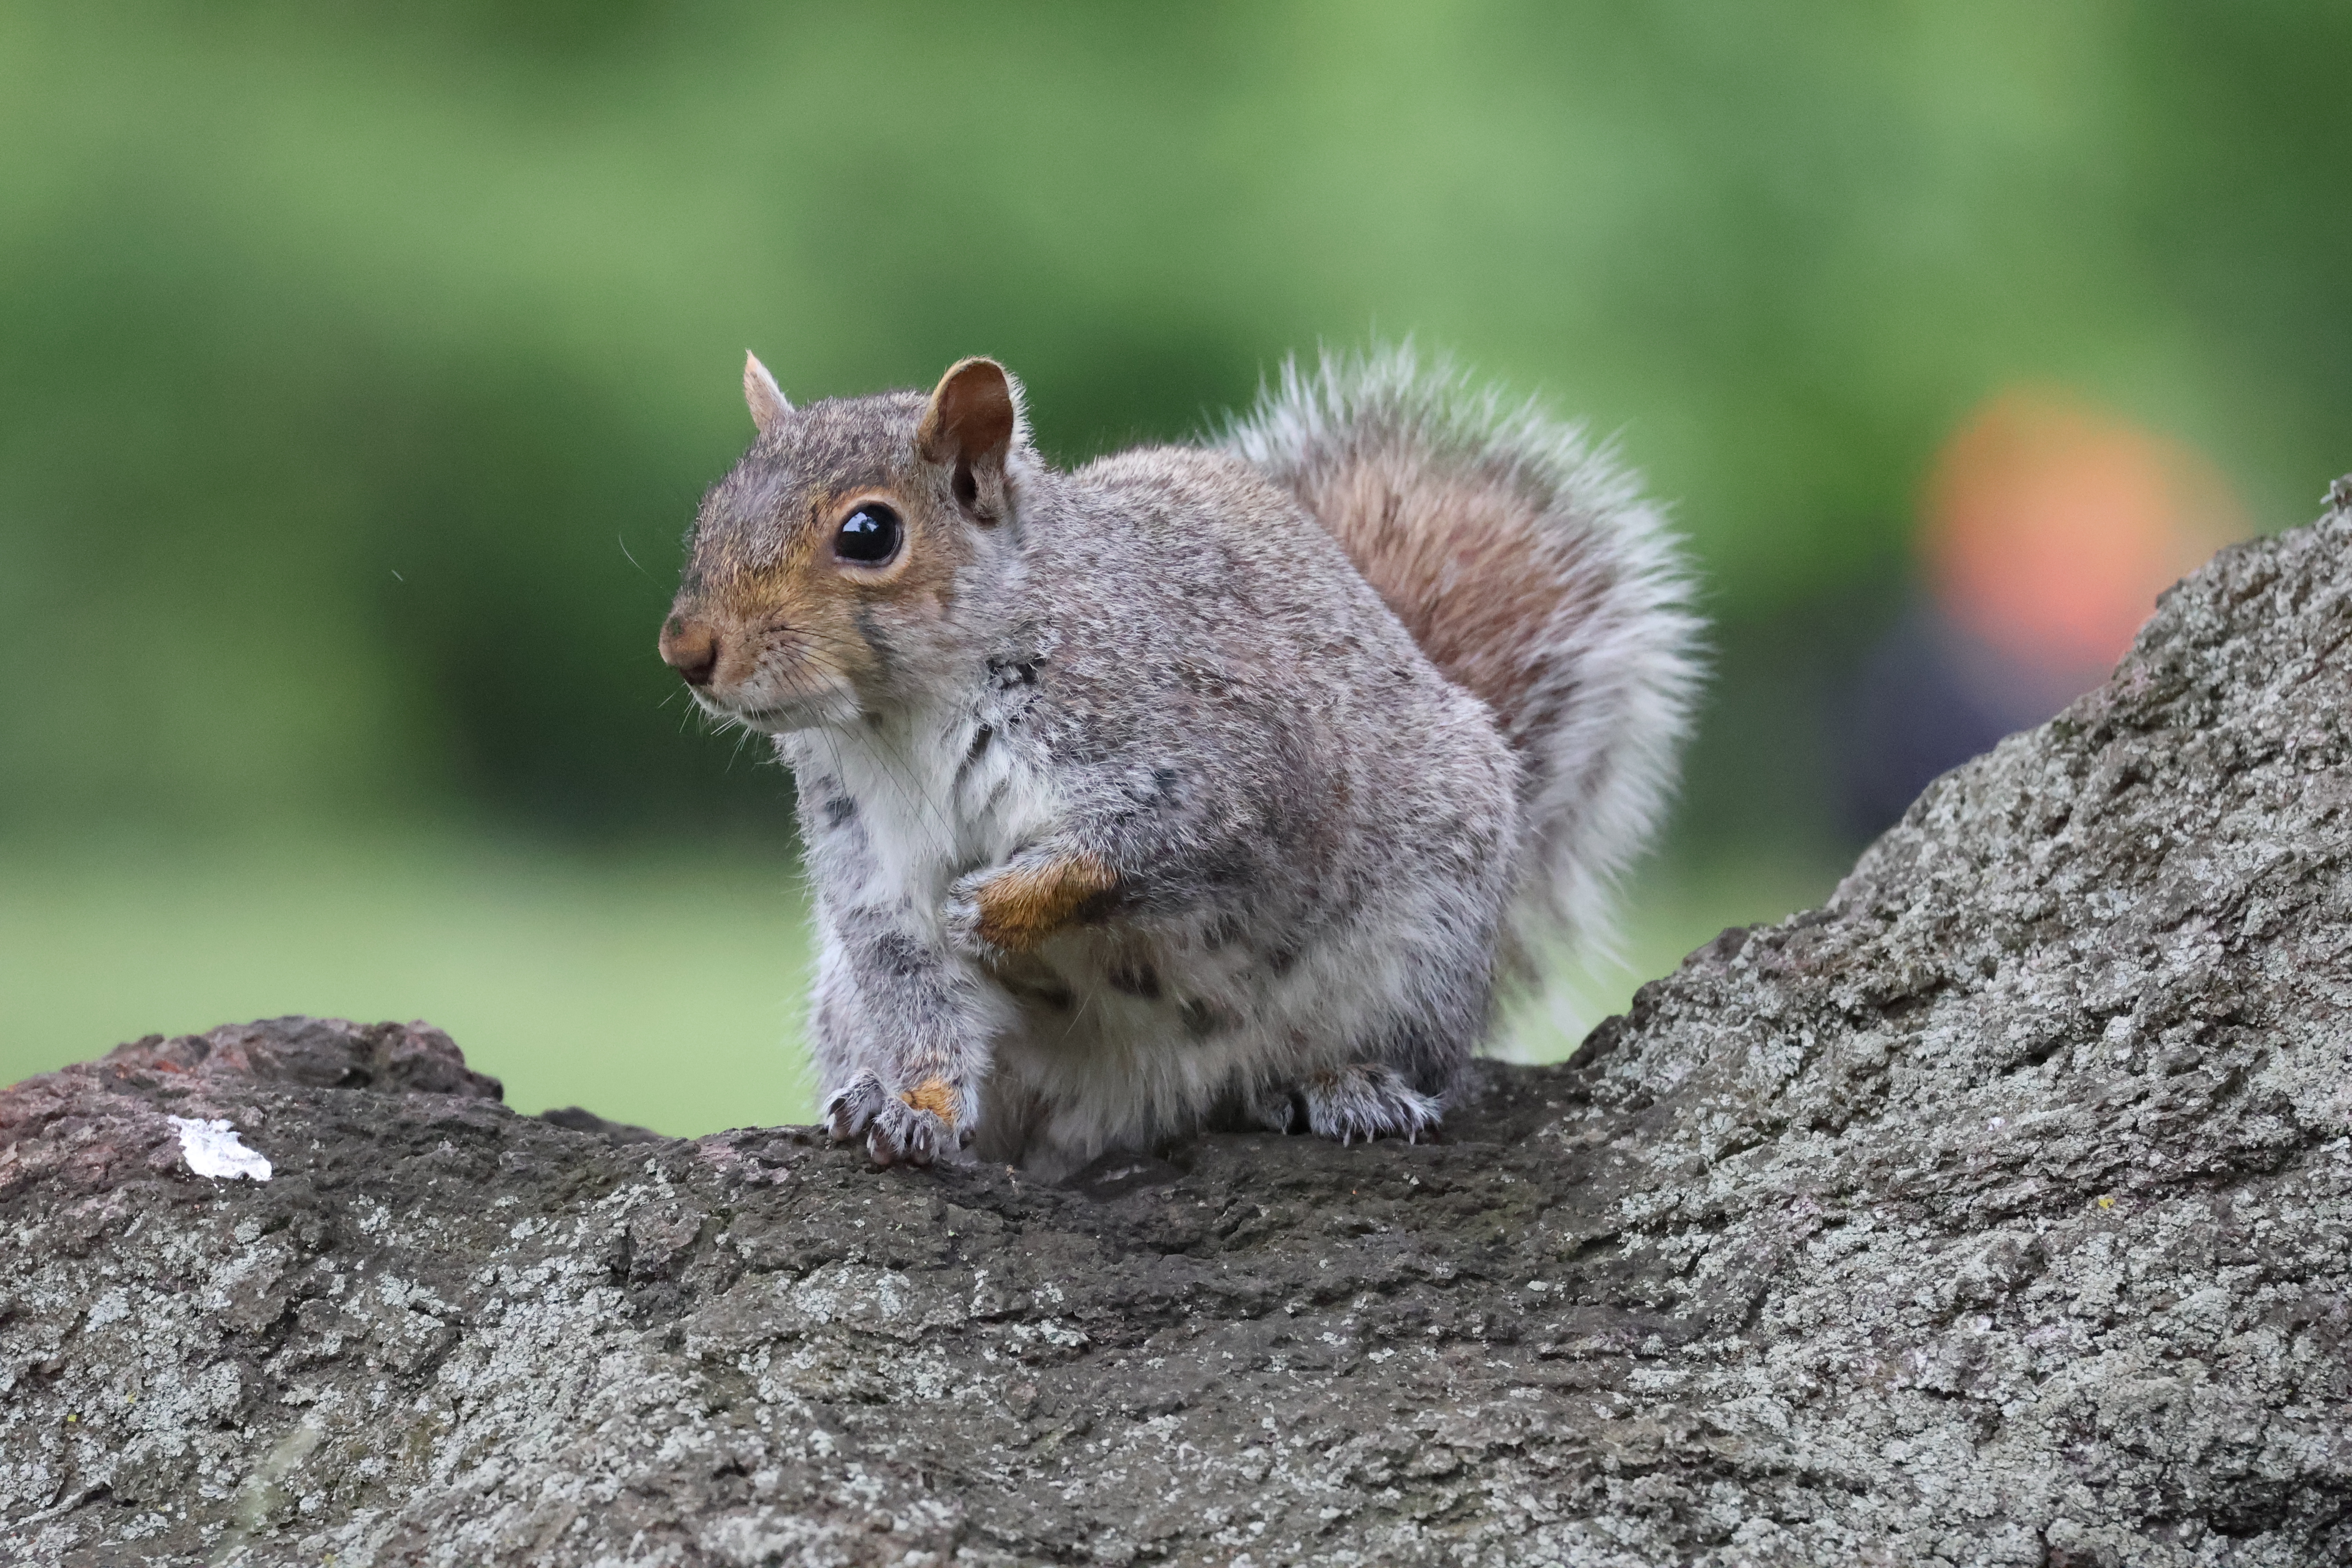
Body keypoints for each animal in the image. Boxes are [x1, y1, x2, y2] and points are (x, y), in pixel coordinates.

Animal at [659, 345, 1698, 1175]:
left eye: (869, 533)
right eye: (711, 509)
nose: (685, 650)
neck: (906, 717)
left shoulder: (1232, 775)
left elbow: (1136, 856)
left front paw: (996, 905)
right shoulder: (871, 866)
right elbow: (922, 999)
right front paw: (913, 1104)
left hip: (1422, 945)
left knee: (1403, 1056)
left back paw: (1343, 1081)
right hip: (845, 999)